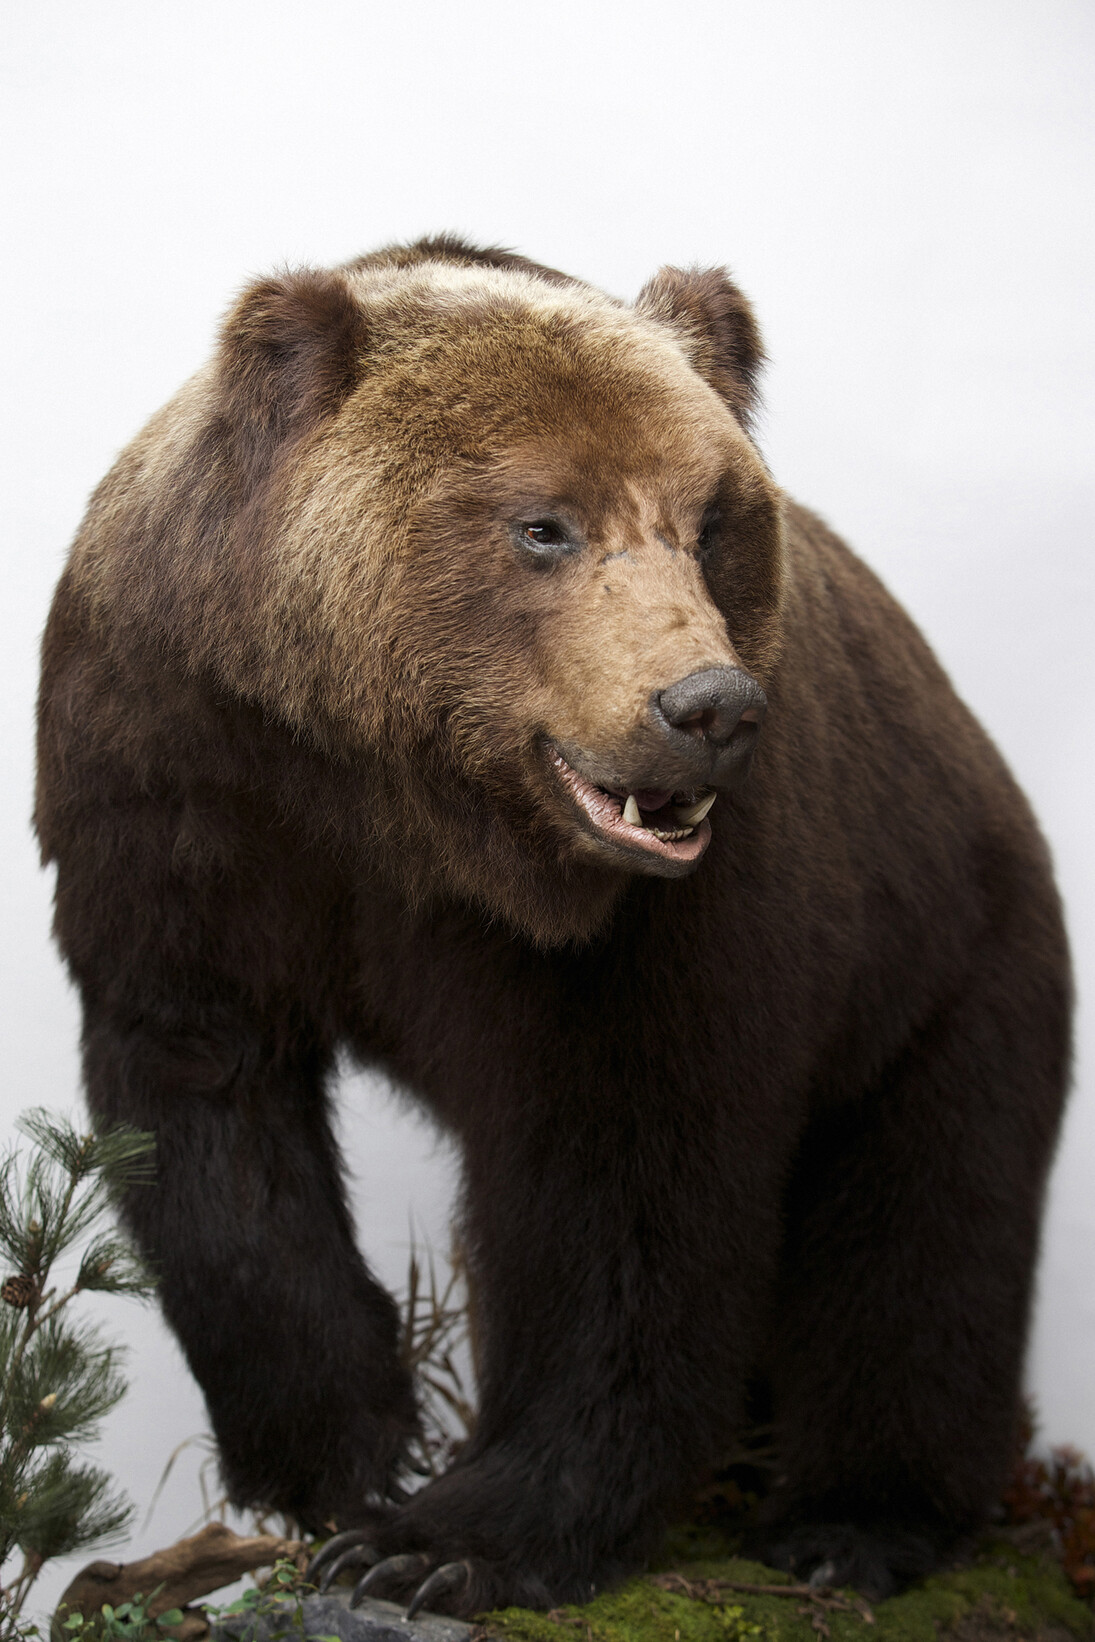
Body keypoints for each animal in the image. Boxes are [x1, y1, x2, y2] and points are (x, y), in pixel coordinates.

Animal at [35, 236, 1070, 1617]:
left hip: (945, 952)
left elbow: (625, 1186)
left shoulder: (661, 924)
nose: (707, 705)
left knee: (925, 1231)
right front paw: (341, 1453)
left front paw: (446, 1537)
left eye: (709, 521)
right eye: (543, 523)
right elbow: (205, 1111)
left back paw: (853, 1520)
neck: (412, 796)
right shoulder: (180, 772)